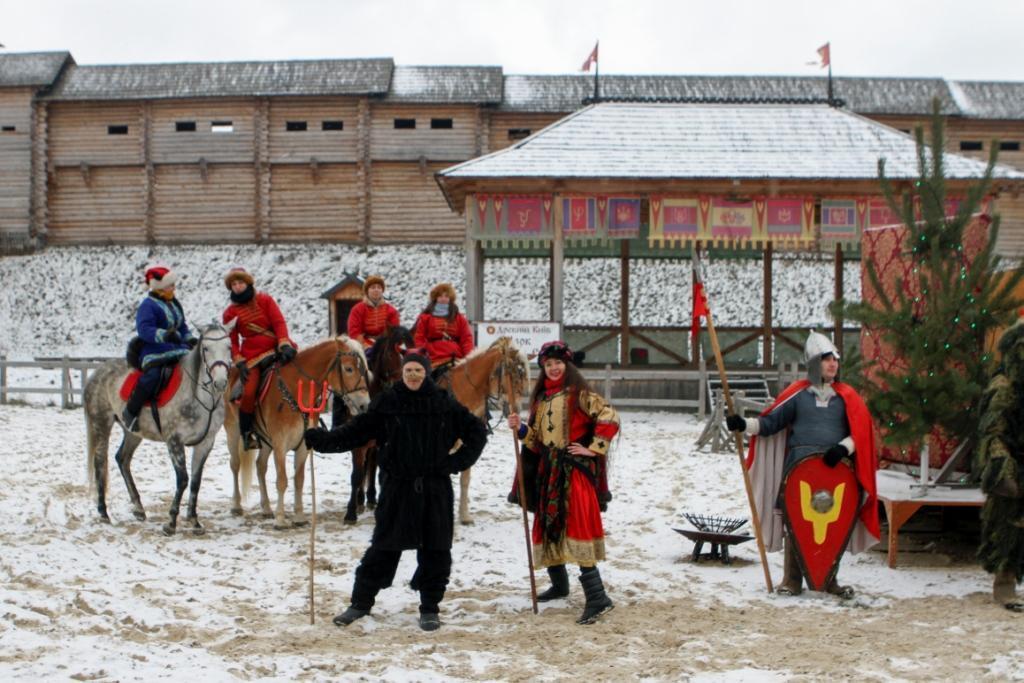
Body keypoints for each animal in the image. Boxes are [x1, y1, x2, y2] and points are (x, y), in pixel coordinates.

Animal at [84, 323, 234, 536]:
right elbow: (183, 479)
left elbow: (196, 481)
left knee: (122, 459)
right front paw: (171, 522)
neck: (199, 398)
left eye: (229, 347)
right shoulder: (174, 442)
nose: (220, 382)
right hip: (101, 424)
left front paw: (194, 521)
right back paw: (103, 512)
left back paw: (138, 508)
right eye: (206, 348)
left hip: (133, 432)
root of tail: (98, 372)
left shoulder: (205, 443)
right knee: (100, 463)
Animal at [226, 335, 370, 528]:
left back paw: (266, 508)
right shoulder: (280, 445)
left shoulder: (303, 445)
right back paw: (236, 505)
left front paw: (299, 516)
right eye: (349, 369)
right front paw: (280, 519)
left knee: (260, 466)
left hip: (266, 441)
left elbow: (299, 480)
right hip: (233, 432)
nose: (365, 404)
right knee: (235, 465)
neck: (295, 390)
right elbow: (282, 480)